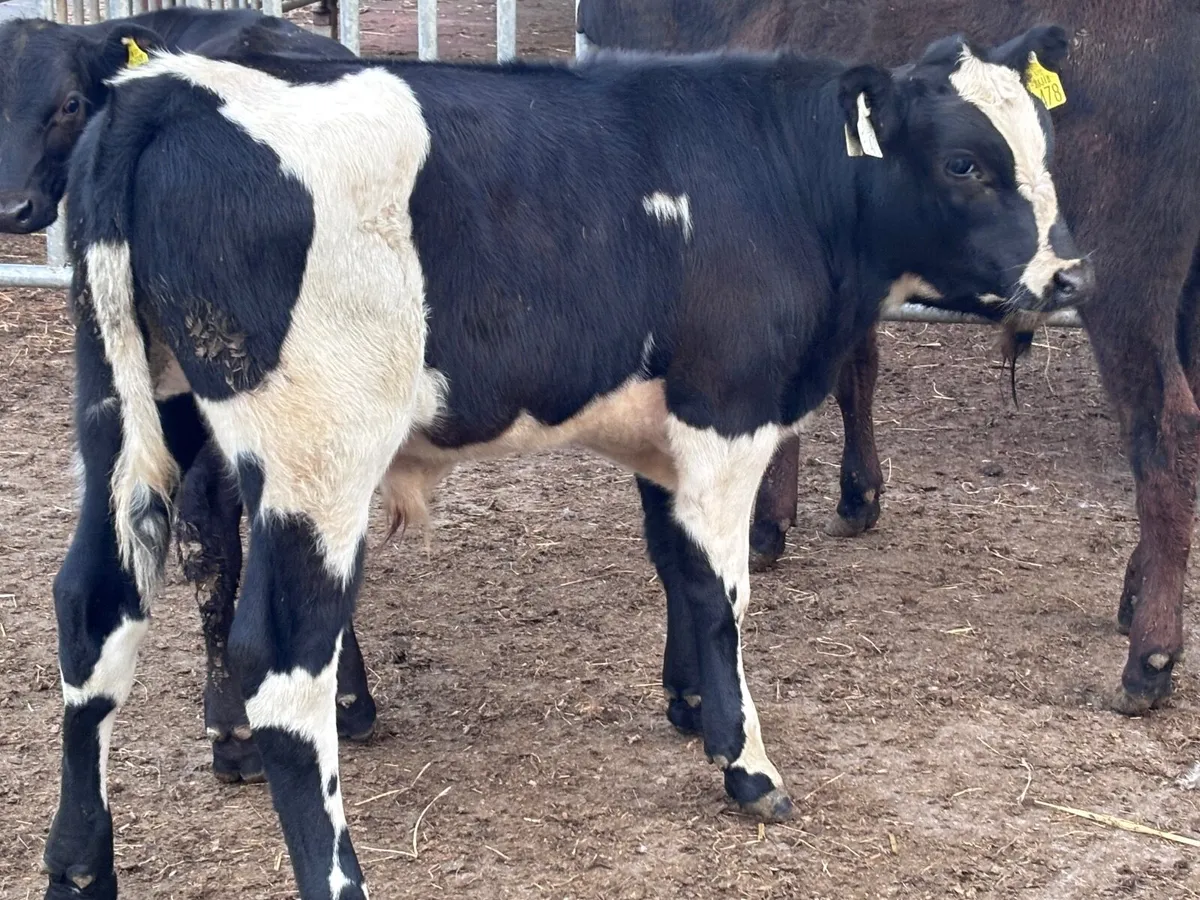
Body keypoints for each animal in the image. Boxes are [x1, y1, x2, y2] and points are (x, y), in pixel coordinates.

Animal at [44, 30, 1088, 898]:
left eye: (1046, 148)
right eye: (964, 163)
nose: (1068, 276)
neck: (778, 173)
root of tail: (163, 88)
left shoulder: (660, 428)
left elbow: (675, 566)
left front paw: (689, 705)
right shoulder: (726, 413)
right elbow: (724, 589)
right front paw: (745, 761)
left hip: (133, 415)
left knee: (95, 607)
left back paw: (79, 867)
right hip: (315, 459)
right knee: (281, 661)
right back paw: (337, 876)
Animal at [577, 0, 1200, 716]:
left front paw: (765, 527)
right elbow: (854, 373)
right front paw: (856, 494)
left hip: (1128, 278)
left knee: (1167, 428)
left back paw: (1151, 654)